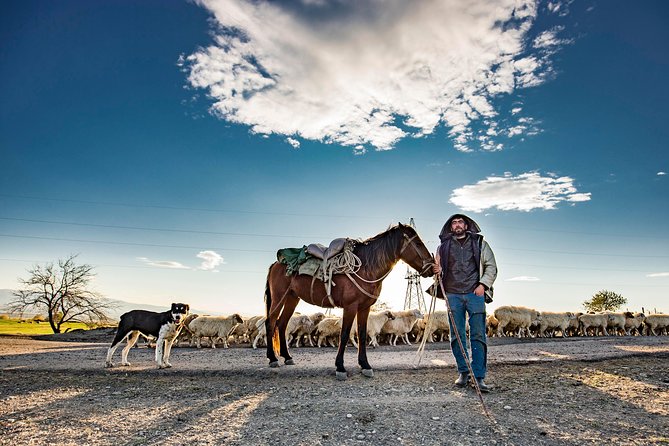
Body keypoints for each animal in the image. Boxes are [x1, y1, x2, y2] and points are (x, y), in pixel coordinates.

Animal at [262, 223, 434, 380]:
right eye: (418, 243)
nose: (432, 268)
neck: (366, 267)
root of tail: (276, 263)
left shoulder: (364, 308)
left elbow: (362, 334)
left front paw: (365, 365)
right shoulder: (350, 307)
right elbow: (344, 334)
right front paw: (340, 367)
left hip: (292, 298)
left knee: (282, 324)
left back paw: (287, 357)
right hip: (279, 297)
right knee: (271, 323)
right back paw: (272, 358)